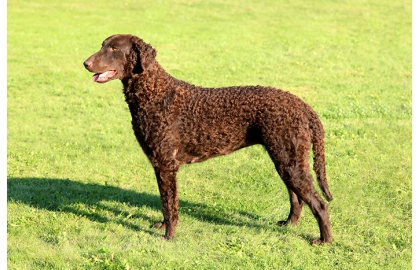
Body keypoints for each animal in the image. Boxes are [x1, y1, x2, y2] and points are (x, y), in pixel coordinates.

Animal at [83, 34, 334, 245]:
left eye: (114, 48)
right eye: (102, 45)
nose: (85, 63)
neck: (155, 94)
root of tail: (303, 106)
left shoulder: (166, 164)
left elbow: (169, 204)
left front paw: (168, 236)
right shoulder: (160, 165)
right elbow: (166, 202)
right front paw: (163, 226)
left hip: (289, 161)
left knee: (319, 204)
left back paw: (324, 241)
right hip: (286, 160)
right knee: (297, 199)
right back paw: (289, 224)